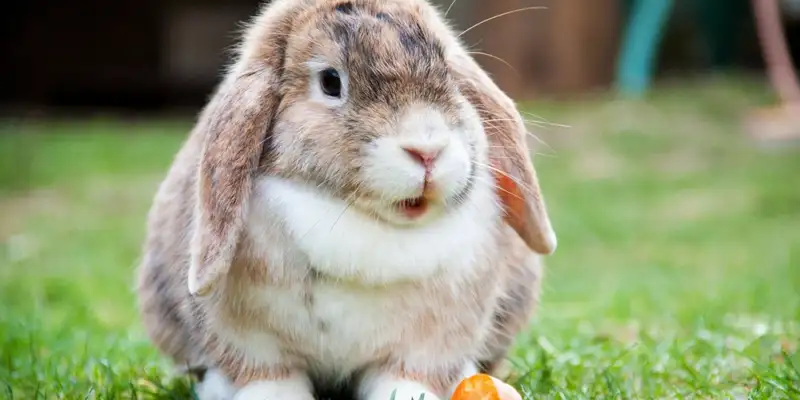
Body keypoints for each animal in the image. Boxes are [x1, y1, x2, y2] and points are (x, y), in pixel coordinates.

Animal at [135, 0, 557, 399]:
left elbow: (407, 375)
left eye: (450, 75)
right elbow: (268, 376)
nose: (427, 150)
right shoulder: (251, 341)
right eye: (330, 81)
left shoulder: (432, 341)